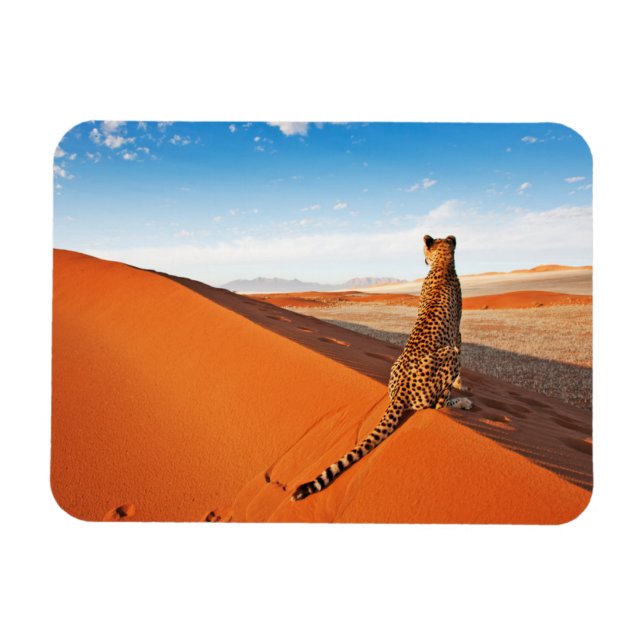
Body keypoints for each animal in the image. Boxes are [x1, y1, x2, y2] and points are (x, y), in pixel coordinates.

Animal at [291, 234, 472, 502]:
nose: (423, 260)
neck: (442, 266)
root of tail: (401, 391)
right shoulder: (457, 337)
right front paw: (463, 388)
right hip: (449, 355)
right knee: (436, 406)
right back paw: (462, 403)